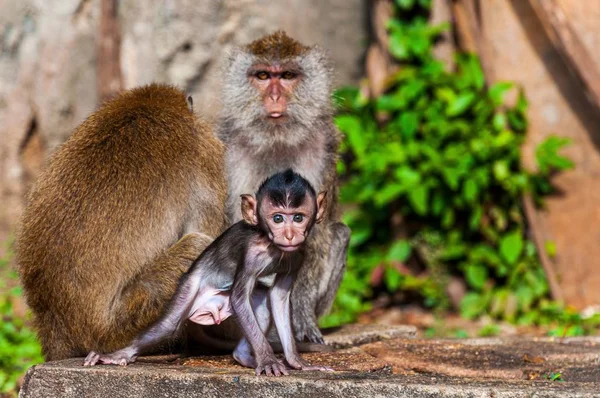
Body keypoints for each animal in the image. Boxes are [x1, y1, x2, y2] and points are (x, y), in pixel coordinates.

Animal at [83, 168, 332, 376]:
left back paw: (243, 357)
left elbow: (278, 298)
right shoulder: (251, 254)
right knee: (168, 324)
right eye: (277, 218)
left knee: (260, 305)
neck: (272, 246)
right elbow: (240, 298)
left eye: (298, 217)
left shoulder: (298, 256)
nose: (289, 235)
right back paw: (119, 355)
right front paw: (269, 361)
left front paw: (296, 361)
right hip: (189, 284)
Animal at [219, 31, 352, 344]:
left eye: (288, 75)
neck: (276, 140)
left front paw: (302, 317)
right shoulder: (226, 150)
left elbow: (314, 233)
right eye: (263, 76)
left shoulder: (322, 151)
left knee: (341, 233)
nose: (275, 97)